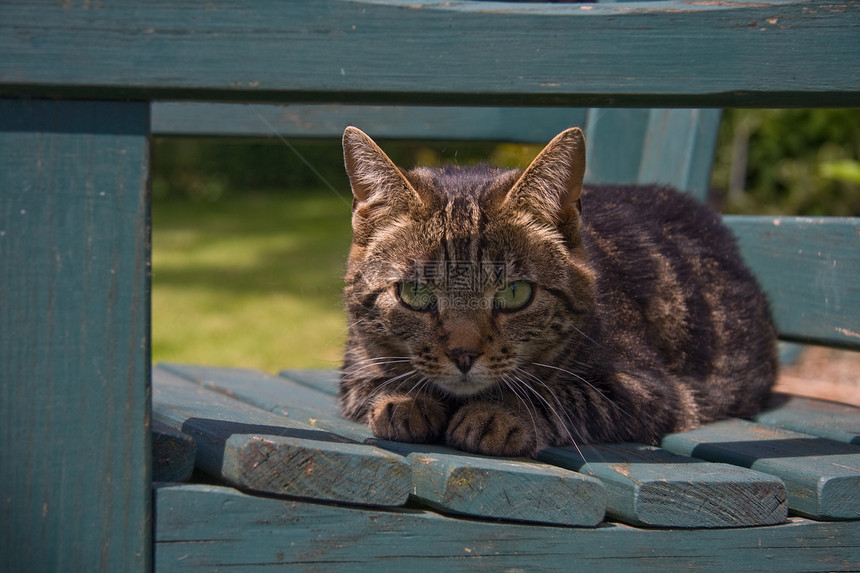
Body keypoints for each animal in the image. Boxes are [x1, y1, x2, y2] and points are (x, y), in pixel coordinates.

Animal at [338, 125, 780, 456]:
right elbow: (383, 380)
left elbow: (556, 394)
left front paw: (497, 413)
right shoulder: (354, 369)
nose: (464, 355)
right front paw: (404, 402)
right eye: (415, 294)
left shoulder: (648, 388)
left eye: (515, 293)